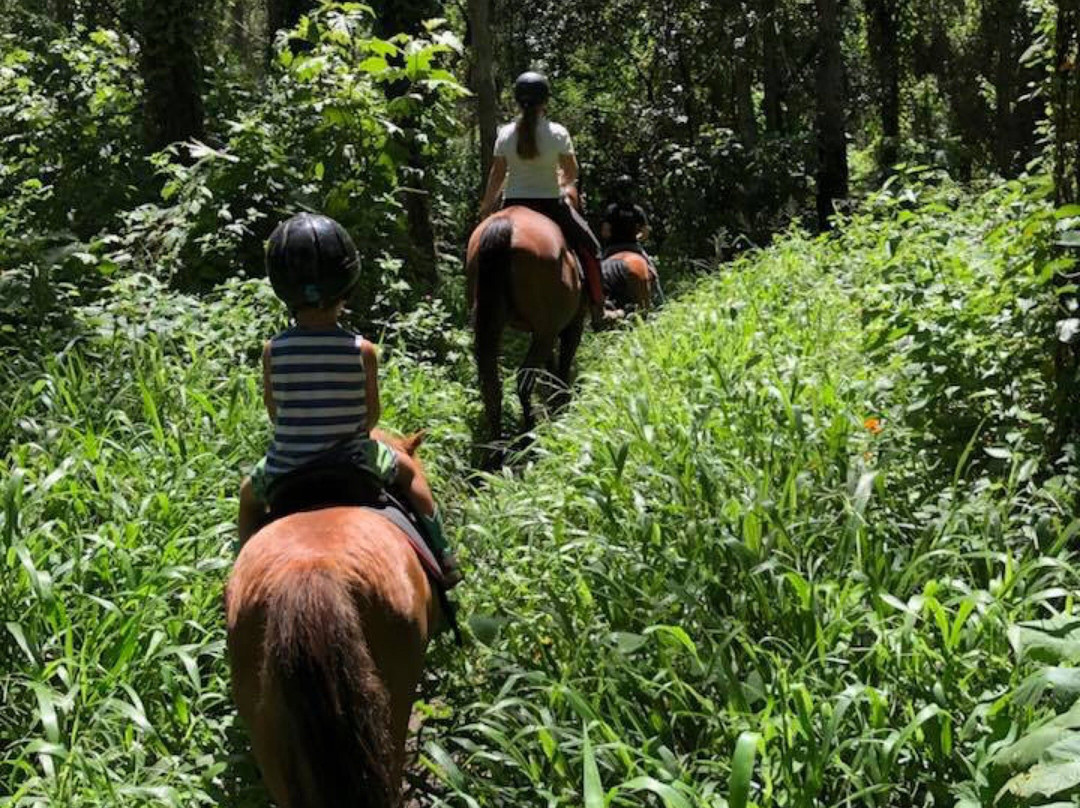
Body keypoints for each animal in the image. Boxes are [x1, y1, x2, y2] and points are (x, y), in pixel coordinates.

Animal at [462, 197, 583, 445]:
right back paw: (530, 433)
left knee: (492, 384)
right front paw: (561, 399)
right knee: (524, 379)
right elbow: (564, 358)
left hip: (492, 322)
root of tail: (505, 226)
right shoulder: (569, 325)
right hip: (546, 329)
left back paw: (497, 445)